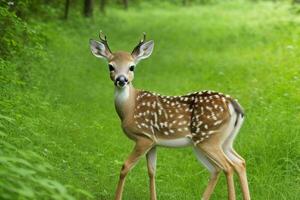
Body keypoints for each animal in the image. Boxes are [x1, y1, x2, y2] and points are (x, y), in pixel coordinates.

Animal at [89, 31, 251, 200]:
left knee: (228, 167)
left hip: (209, 139)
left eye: (132, 67)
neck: (129, 108)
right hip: (221, 142)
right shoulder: (153, 142)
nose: (121, 80)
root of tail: (235, 105)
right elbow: (152, 171)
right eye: (110, 66)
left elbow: (125, 167)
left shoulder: (144, 137)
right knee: (236, 163)